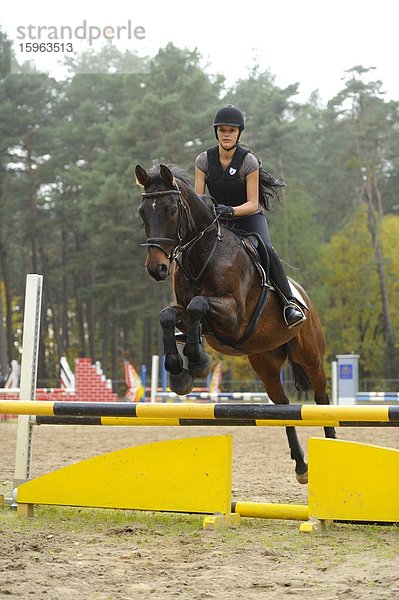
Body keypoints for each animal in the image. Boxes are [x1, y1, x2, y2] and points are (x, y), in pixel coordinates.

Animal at [136, 161, 336, 482]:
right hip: (265, 361)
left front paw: (197, 362)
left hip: (311, 355)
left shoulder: (233, 317)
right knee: (282, 406)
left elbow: (199, 305)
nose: (157, 268)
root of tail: (304, 295)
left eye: (171, 209)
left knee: (322, 400)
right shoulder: (187, 315)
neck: (203, 253)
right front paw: (181, 372)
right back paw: (301, 466)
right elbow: (169, 314)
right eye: (143, 212)